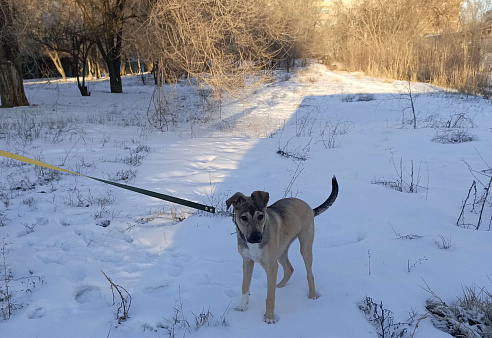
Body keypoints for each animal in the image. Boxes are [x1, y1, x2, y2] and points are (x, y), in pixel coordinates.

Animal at [227, 176, 338, 324]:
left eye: (260, 216)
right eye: (243, 218)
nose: (256, 238)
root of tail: (309, 207)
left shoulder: (271, 266)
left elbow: (270, 296)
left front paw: (269, 318)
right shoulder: (247, 261)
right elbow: (244, 286)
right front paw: (243, 307)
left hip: (305, 247)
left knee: (309, 274)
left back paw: (312, 296)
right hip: (281, 251)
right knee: (289, 269)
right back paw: (279, 286)